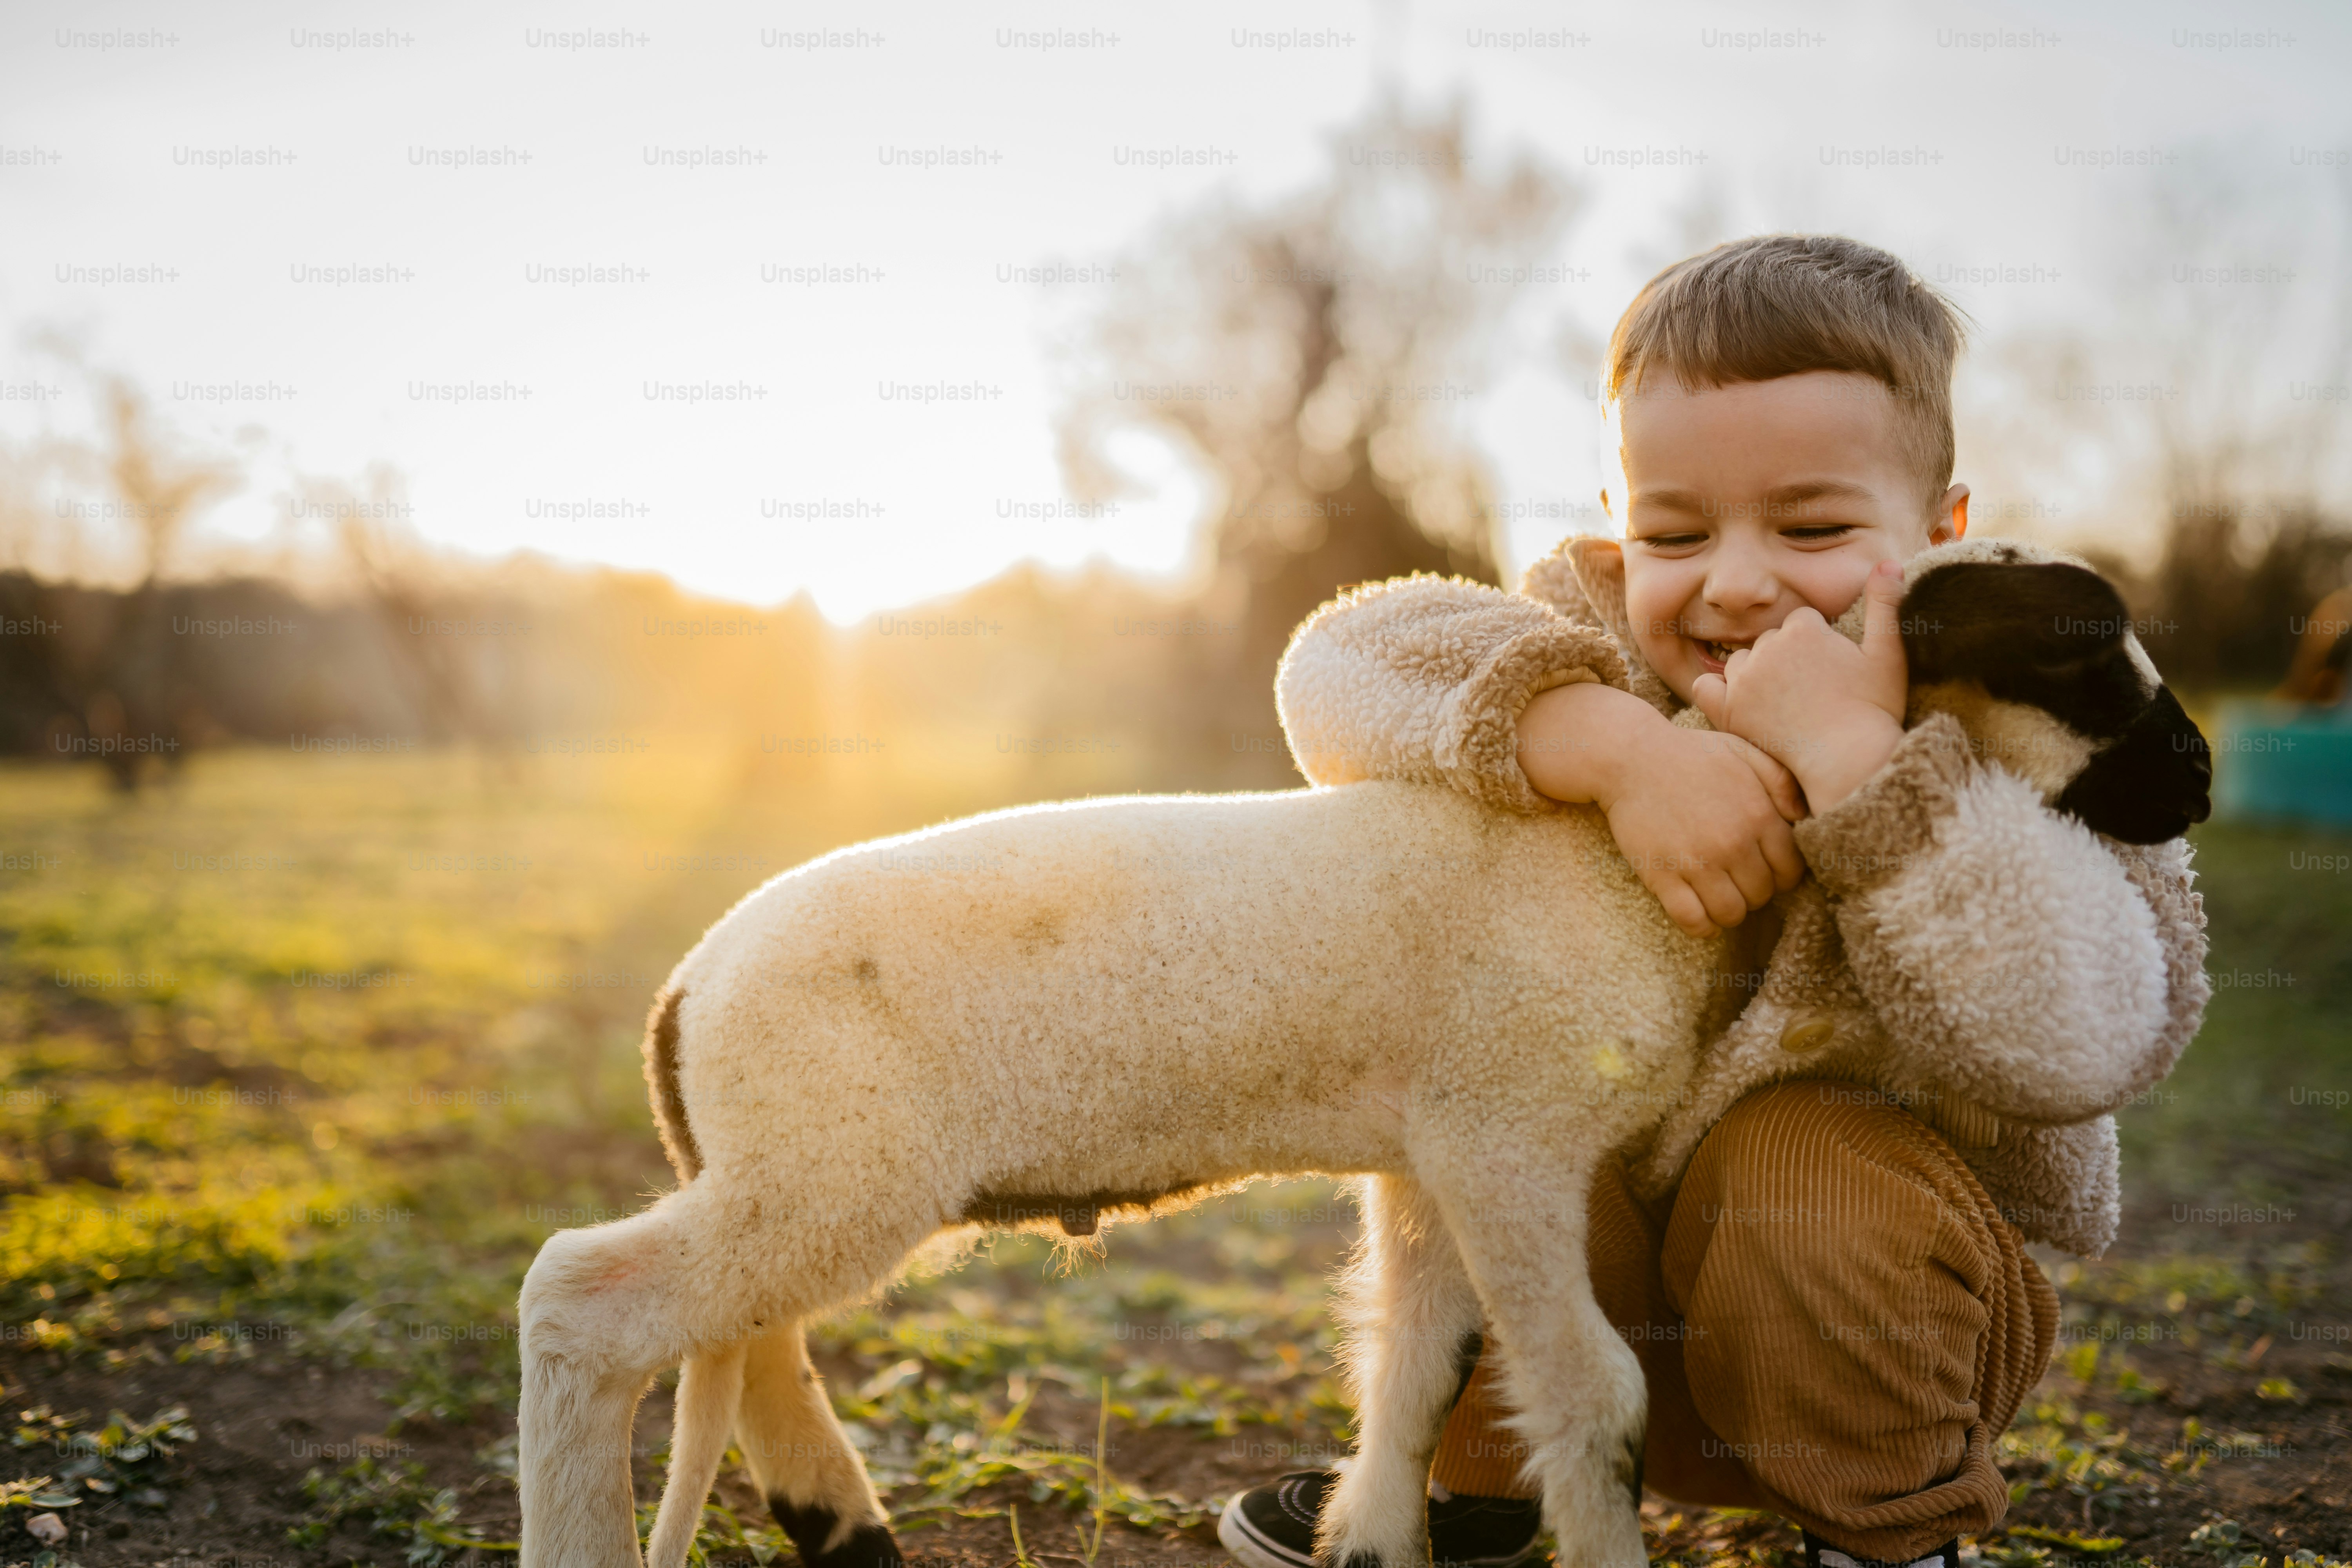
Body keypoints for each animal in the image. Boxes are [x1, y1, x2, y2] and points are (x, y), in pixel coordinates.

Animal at [514, 542, 2210, 1568]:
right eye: (2082, 664)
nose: (2198, 780)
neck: (1627, 857)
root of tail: (692, 985)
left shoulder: (1431, 1160)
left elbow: (1413, 1362)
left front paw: (1373, 1537)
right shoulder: (1504, 1142)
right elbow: (1590, 1396)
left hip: (803, 1165)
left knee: (744, 1335)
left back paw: (843, 1523)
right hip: (833, 1164)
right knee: (587, 1304)